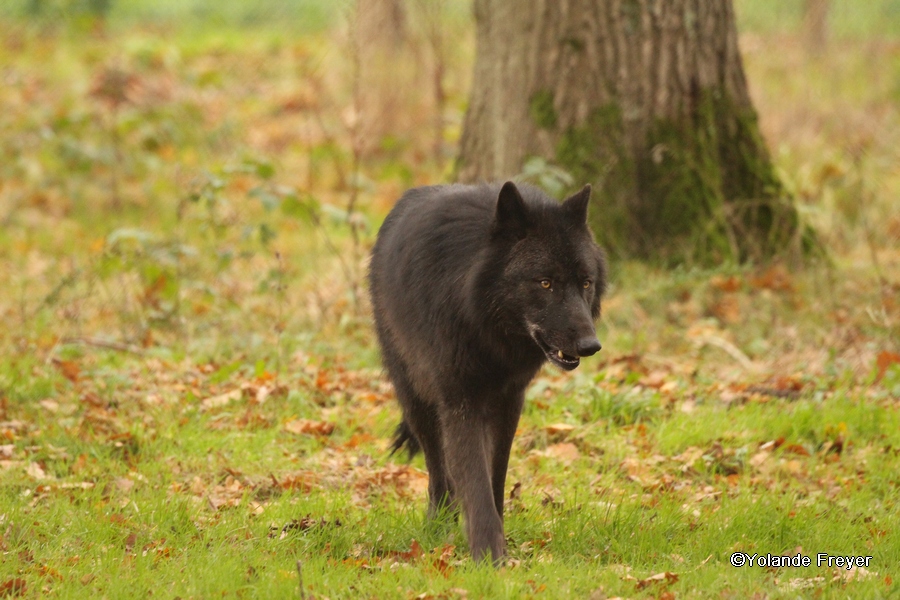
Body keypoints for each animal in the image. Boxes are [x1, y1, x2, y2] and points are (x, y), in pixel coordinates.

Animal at [370, 182, 608, 564]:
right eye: (545, 283)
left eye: (585, 283)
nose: (590, 345)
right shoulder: (460, 401)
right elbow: (474, 478)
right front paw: (488, 556)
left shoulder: (510, 400)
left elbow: (494, 475)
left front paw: (499, 542)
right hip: (417, 399)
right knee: (437, 469)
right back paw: (438, 525)